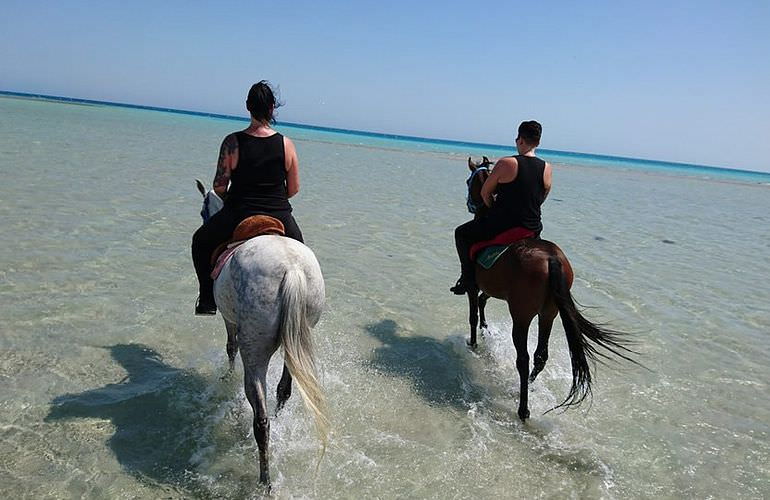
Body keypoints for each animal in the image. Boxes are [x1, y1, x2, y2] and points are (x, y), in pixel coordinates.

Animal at [195, 180, 328, 484]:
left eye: (203, 210)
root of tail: (291, 269)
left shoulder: (229, 319)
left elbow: (230, 347)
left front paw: (227, 375)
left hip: (254, 351)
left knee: (261, 419)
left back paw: (265, 481)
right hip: (297, 340)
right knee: (284, 391)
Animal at [460, 158, 632, 420]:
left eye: (469, 181)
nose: (470, 203)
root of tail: (551, 258)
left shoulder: (477, 285)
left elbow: (472, 312)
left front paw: (473, 342)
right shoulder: (492, 287)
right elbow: (482, 301)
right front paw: (485, 329)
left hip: (522, 314)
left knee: (523, 359)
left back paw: (523, 408)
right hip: (549, 313)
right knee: (540, 356)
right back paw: (527, 387)